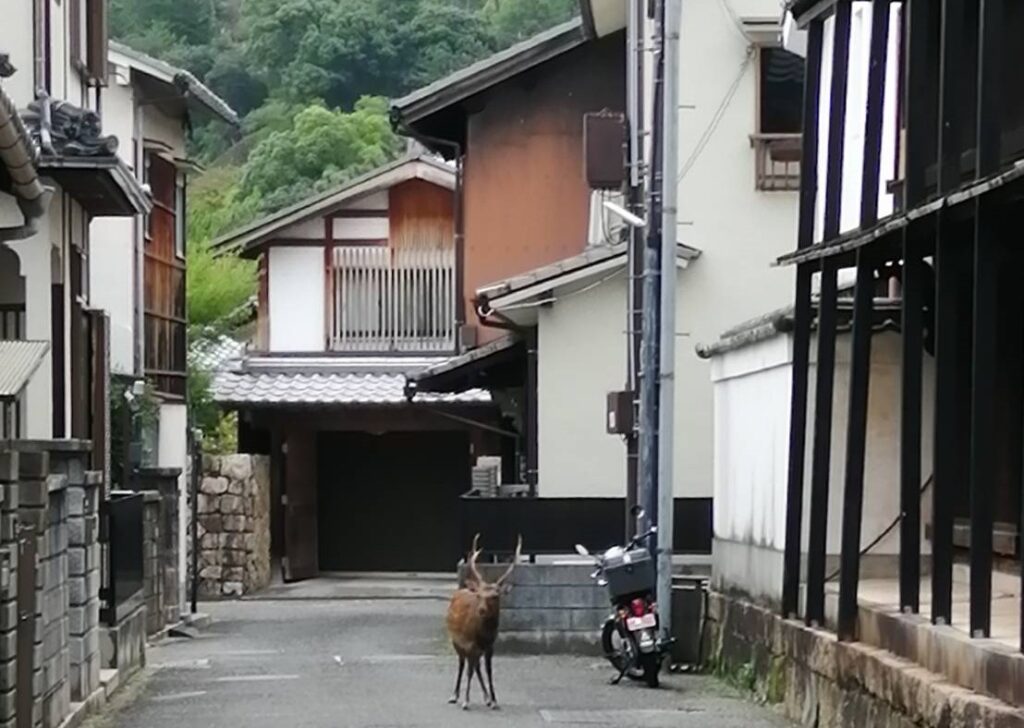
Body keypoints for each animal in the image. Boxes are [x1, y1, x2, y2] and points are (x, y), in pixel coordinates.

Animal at [446, 532, 520, 708]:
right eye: (479, 595)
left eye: (495, 596)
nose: (481, 610)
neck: (483, 634)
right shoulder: (469, 644)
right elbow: (469, 671)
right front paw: (466, 701)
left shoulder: (490, 646)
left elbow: (488, 671)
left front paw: (494, 700)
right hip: (456, 641)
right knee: (462, 664)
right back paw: (455, 695)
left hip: (476, 650)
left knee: (476, 666)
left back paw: (486, 697)